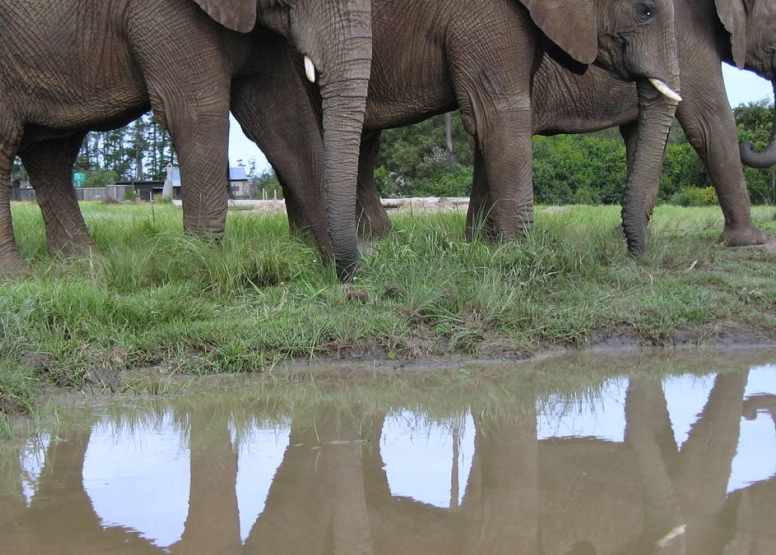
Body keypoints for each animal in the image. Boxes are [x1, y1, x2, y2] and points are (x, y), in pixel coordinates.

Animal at [0, 0, 370, 278]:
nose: (344, 273)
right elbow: (197, 111)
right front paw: (207, 268)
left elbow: (284, 114)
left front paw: (345, 267)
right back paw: (20, 277)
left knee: (52, 155)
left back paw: (84, 267)